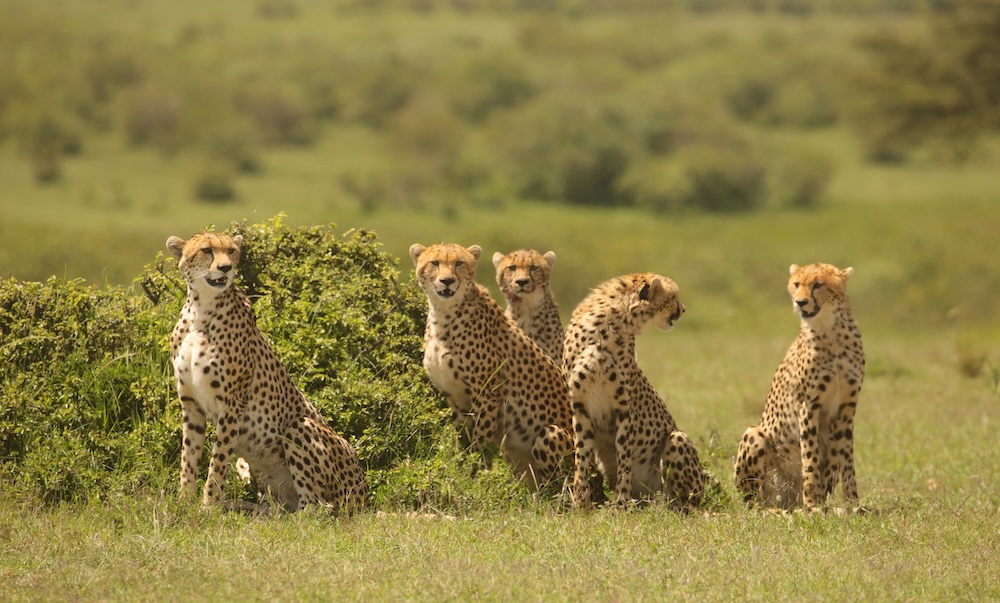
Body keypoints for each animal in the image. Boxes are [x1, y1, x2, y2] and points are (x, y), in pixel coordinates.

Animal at [167, 231, 368, 514]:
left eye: (231, 251)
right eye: (207, 250)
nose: (226, 268)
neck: (201, 310)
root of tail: (365, 496)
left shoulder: (232, 404)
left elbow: (217, 462)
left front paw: (208, 507)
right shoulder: (191, 402)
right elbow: (189, 457)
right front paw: (183, 503)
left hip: (299, 427)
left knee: (316, 509)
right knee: (280, 509)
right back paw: (245, 507)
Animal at [409, 242, 574, 491]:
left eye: (459, 263)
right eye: (435, 263)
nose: (447, 281)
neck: (444, 314)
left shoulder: (487, 395)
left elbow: (480, 442)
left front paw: (477, 479)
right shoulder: (455, 398)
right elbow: (463, 441)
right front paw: (462, 472)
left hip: (553, 434)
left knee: (557, 487)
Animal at [563, 272, 706, 510]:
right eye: (673, 297)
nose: (684, 309)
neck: (608, 325)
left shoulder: (623, 408)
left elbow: (624, 458)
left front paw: (620, 504)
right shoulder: (580, 407)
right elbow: (581, 456)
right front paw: (580, 504)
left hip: (677, 439)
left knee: (686, 502)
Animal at [734, 262, 865, 511]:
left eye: (818, 285)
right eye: (796, 284)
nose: (800, 302)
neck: (831, 332)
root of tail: (787, 499)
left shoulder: (847, 407)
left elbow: (847, 459)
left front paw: (854, 504)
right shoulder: (808, 405)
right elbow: (810, 457)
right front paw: (812, 504)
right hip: (754, 434)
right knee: (753, 500)